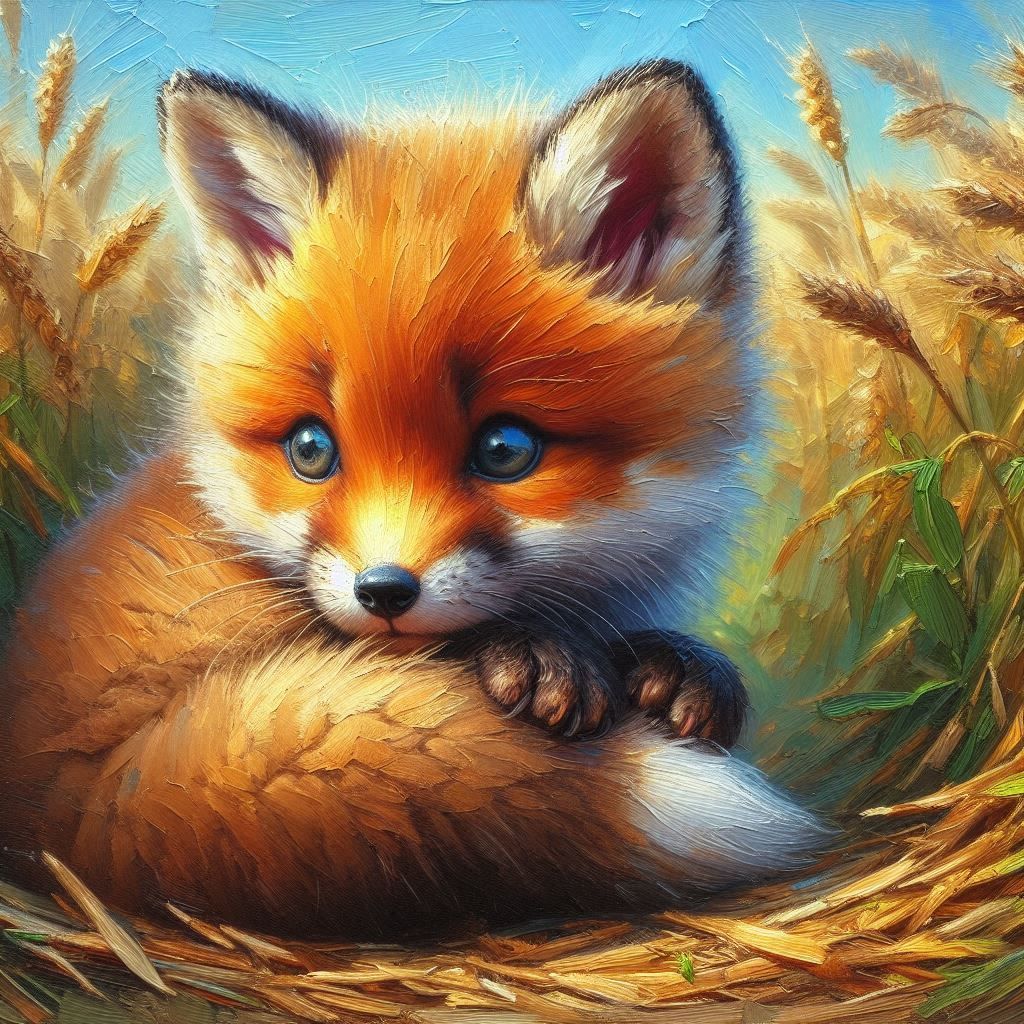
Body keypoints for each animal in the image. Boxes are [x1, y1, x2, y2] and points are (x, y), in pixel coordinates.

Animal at [0, 60, 823, 937]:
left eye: (505, 449)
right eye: (310, 449)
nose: (384, 592)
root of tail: (57, 814)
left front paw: (678, 667)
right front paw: (535, 656)